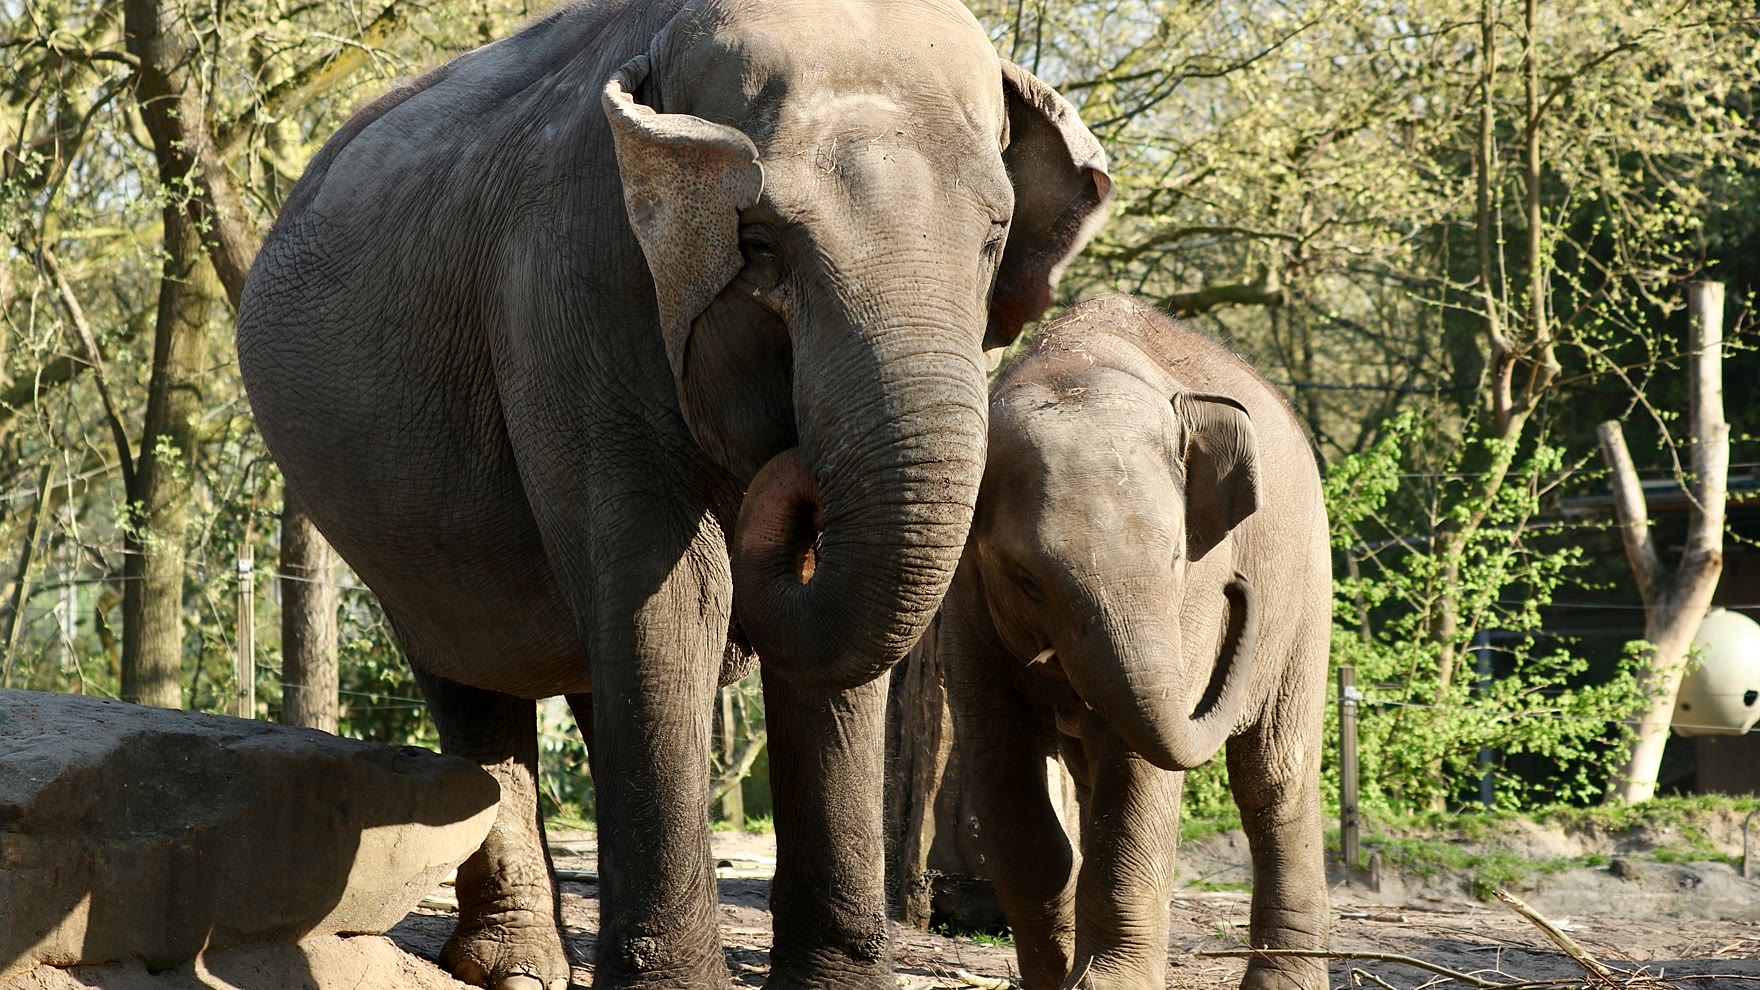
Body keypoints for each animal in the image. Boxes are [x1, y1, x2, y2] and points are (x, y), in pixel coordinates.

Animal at [233, 1, 1111, 987]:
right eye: (759, 244)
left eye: (994, 240)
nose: (793, 469)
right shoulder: (572, 289)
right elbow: (675, 596)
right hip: (390, 525)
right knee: (472, 674)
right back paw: (516, 969)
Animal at [936, 295, 1330, 990]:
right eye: (1026, 580)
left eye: (1175, 556)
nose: (1239, 587)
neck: (1074, 365)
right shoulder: (966, 597)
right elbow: (1000, 754)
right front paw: (1055, 979)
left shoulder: (1192, 594)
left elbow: (1140, 773)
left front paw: (1104, 983)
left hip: (1307, 590)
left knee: (1274, 779)